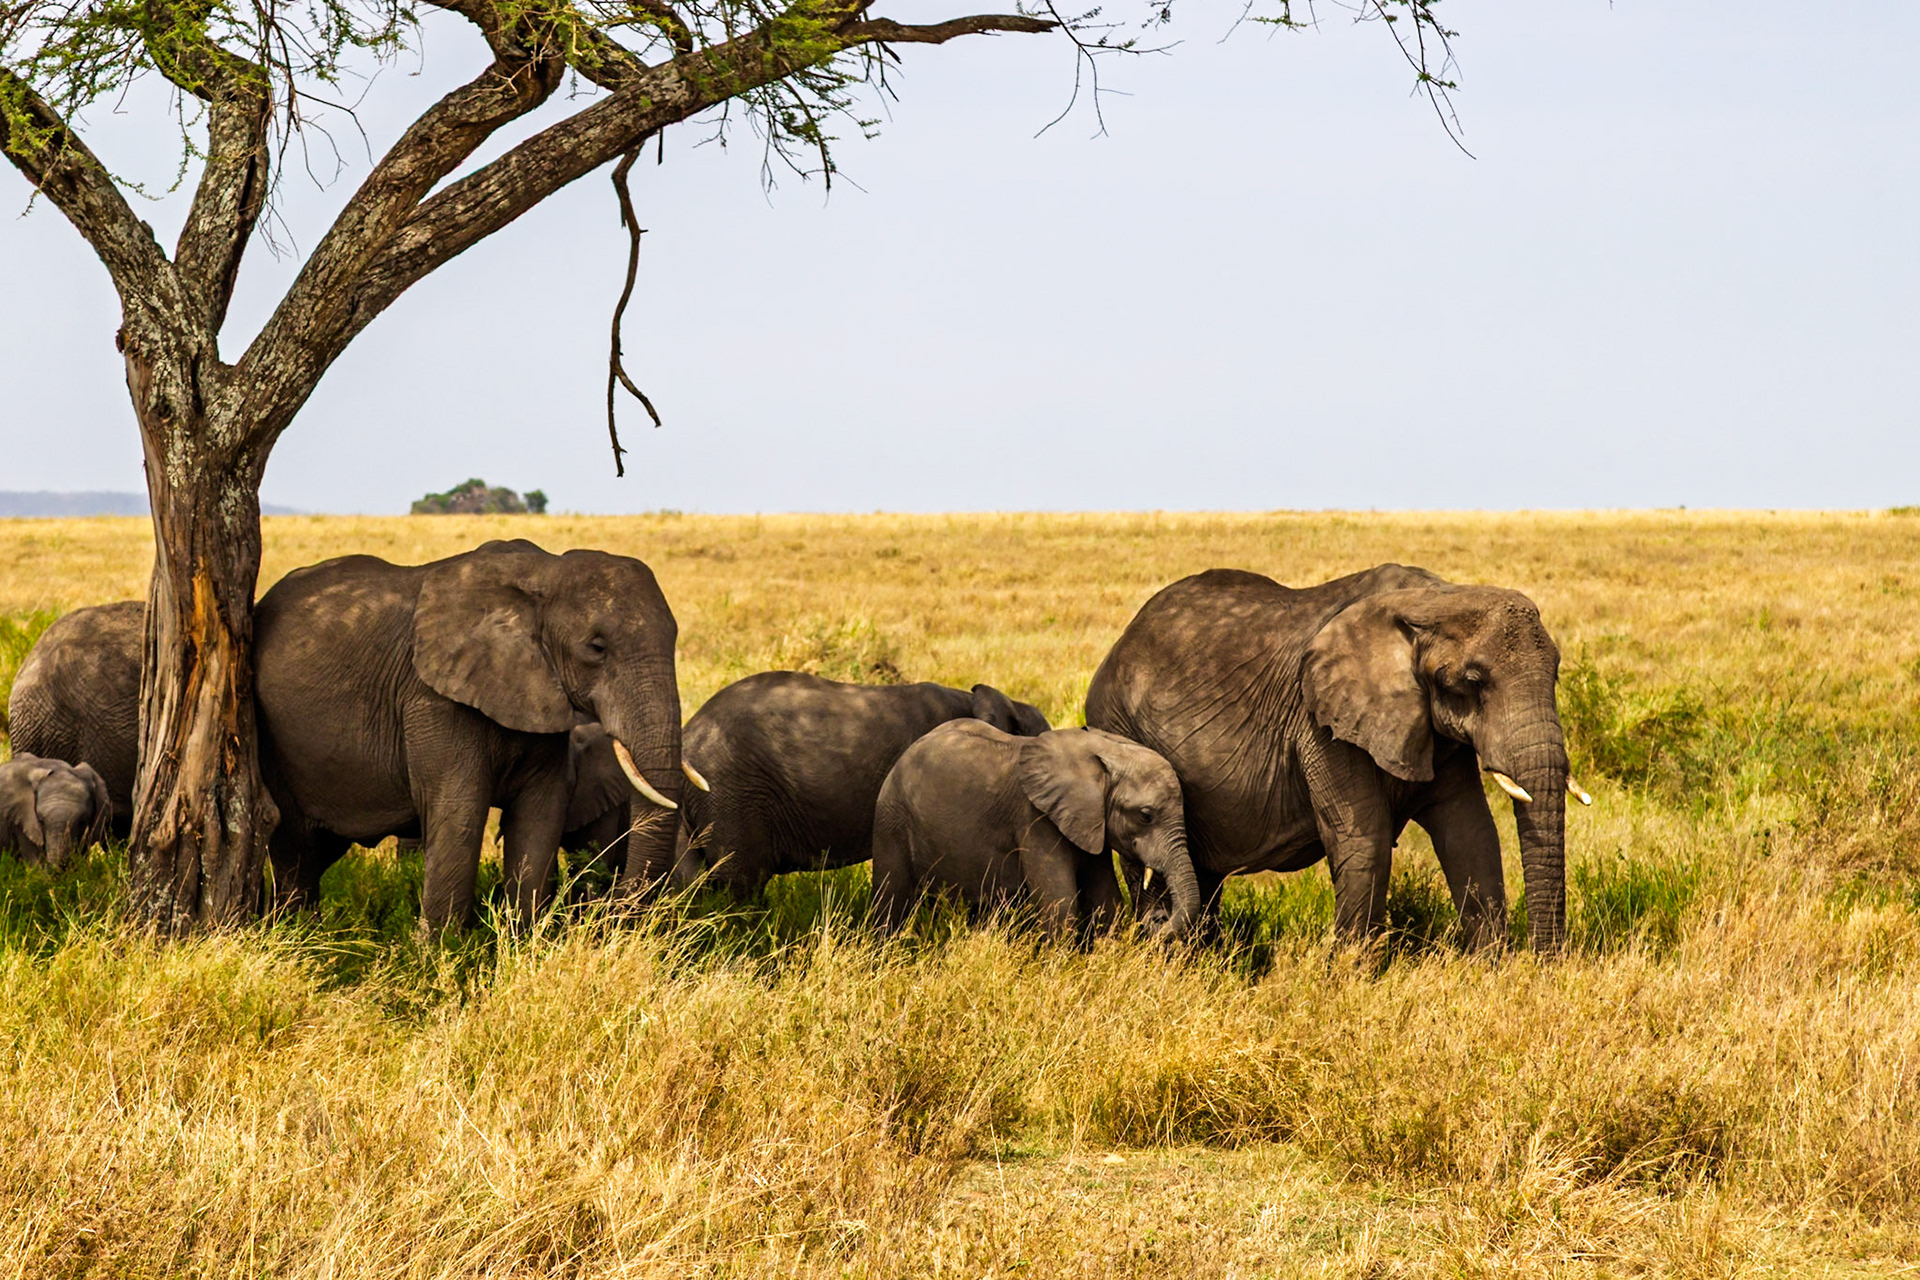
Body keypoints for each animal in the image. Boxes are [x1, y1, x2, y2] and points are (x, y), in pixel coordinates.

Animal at [254, 539, 689, 928]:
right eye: (597, 648)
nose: (610, 910)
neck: (545, 572)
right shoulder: (433, 698)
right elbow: (460, 813)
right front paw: (440, 956)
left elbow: (540, 815)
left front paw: (521, 945)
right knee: (296, 848)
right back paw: (299, 933)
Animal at [871, 722, 1201, 940]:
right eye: (1145, 815)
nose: (1156, 921)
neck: (1103, 751)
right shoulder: (1035, 819)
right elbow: (1061, 905)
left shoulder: (1090, 822)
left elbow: (1106, 900)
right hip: (891, 819)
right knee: (889, 898)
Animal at [1085, 565, 1585, 953]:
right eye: (1472, 681)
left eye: (1557, 673)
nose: (1546, 963)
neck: (1434, 598)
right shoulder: (1321, 724)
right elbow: (1365, 841)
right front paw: (1349, 977)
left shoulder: (1433, 729)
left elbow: (1470, 833)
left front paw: (1491, 972)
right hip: (1121, 729)